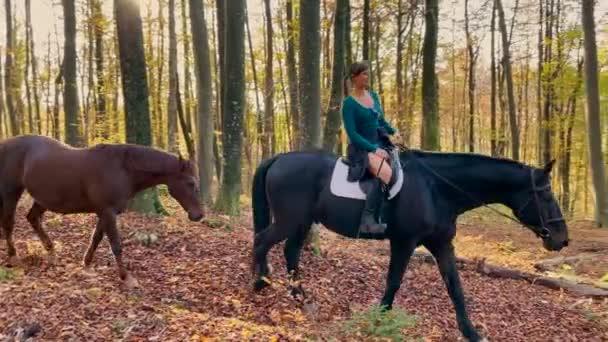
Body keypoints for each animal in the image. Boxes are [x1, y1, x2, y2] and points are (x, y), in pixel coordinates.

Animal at [0, 135, 204, 288]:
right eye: (190, 183)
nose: (199, 215)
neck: (123, 168)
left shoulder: (104, 213)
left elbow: (96, 238)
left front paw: (86, 264)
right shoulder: (108, 212)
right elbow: (115, 244)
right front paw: (126, 277)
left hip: (43, 199)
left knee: (32, 218)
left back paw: (51, 252)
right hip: (11, 192)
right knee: (9, 223)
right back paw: (14, 257)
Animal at [249, 148, 568, 342]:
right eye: (546, 195)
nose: (562, 239)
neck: (436, 189)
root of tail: (279, 158)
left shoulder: (442, 244)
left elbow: (455, 287)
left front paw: (471, 332)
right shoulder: (404, 242)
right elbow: (394, 281)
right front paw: (379, 321)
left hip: (301, 223)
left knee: (290, 252)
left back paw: (301, 299)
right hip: (290, 220)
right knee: (262, 241)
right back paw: (259, 282)